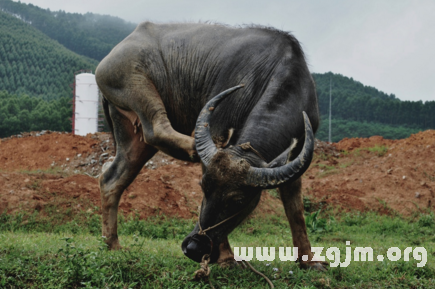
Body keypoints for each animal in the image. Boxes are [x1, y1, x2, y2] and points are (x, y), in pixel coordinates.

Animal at [95, 22, 328, 270]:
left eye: (238, 201)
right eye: (203, 186)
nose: (193, 247)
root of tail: (128, 38)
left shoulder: (296, 157)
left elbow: (296, 211)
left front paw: (309, 260)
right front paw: (226, 257)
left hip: (129, 133)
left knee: (112, 179)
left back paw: (112, 243)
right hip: (134, 80)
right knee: (156, 127)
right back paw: (193, 148)